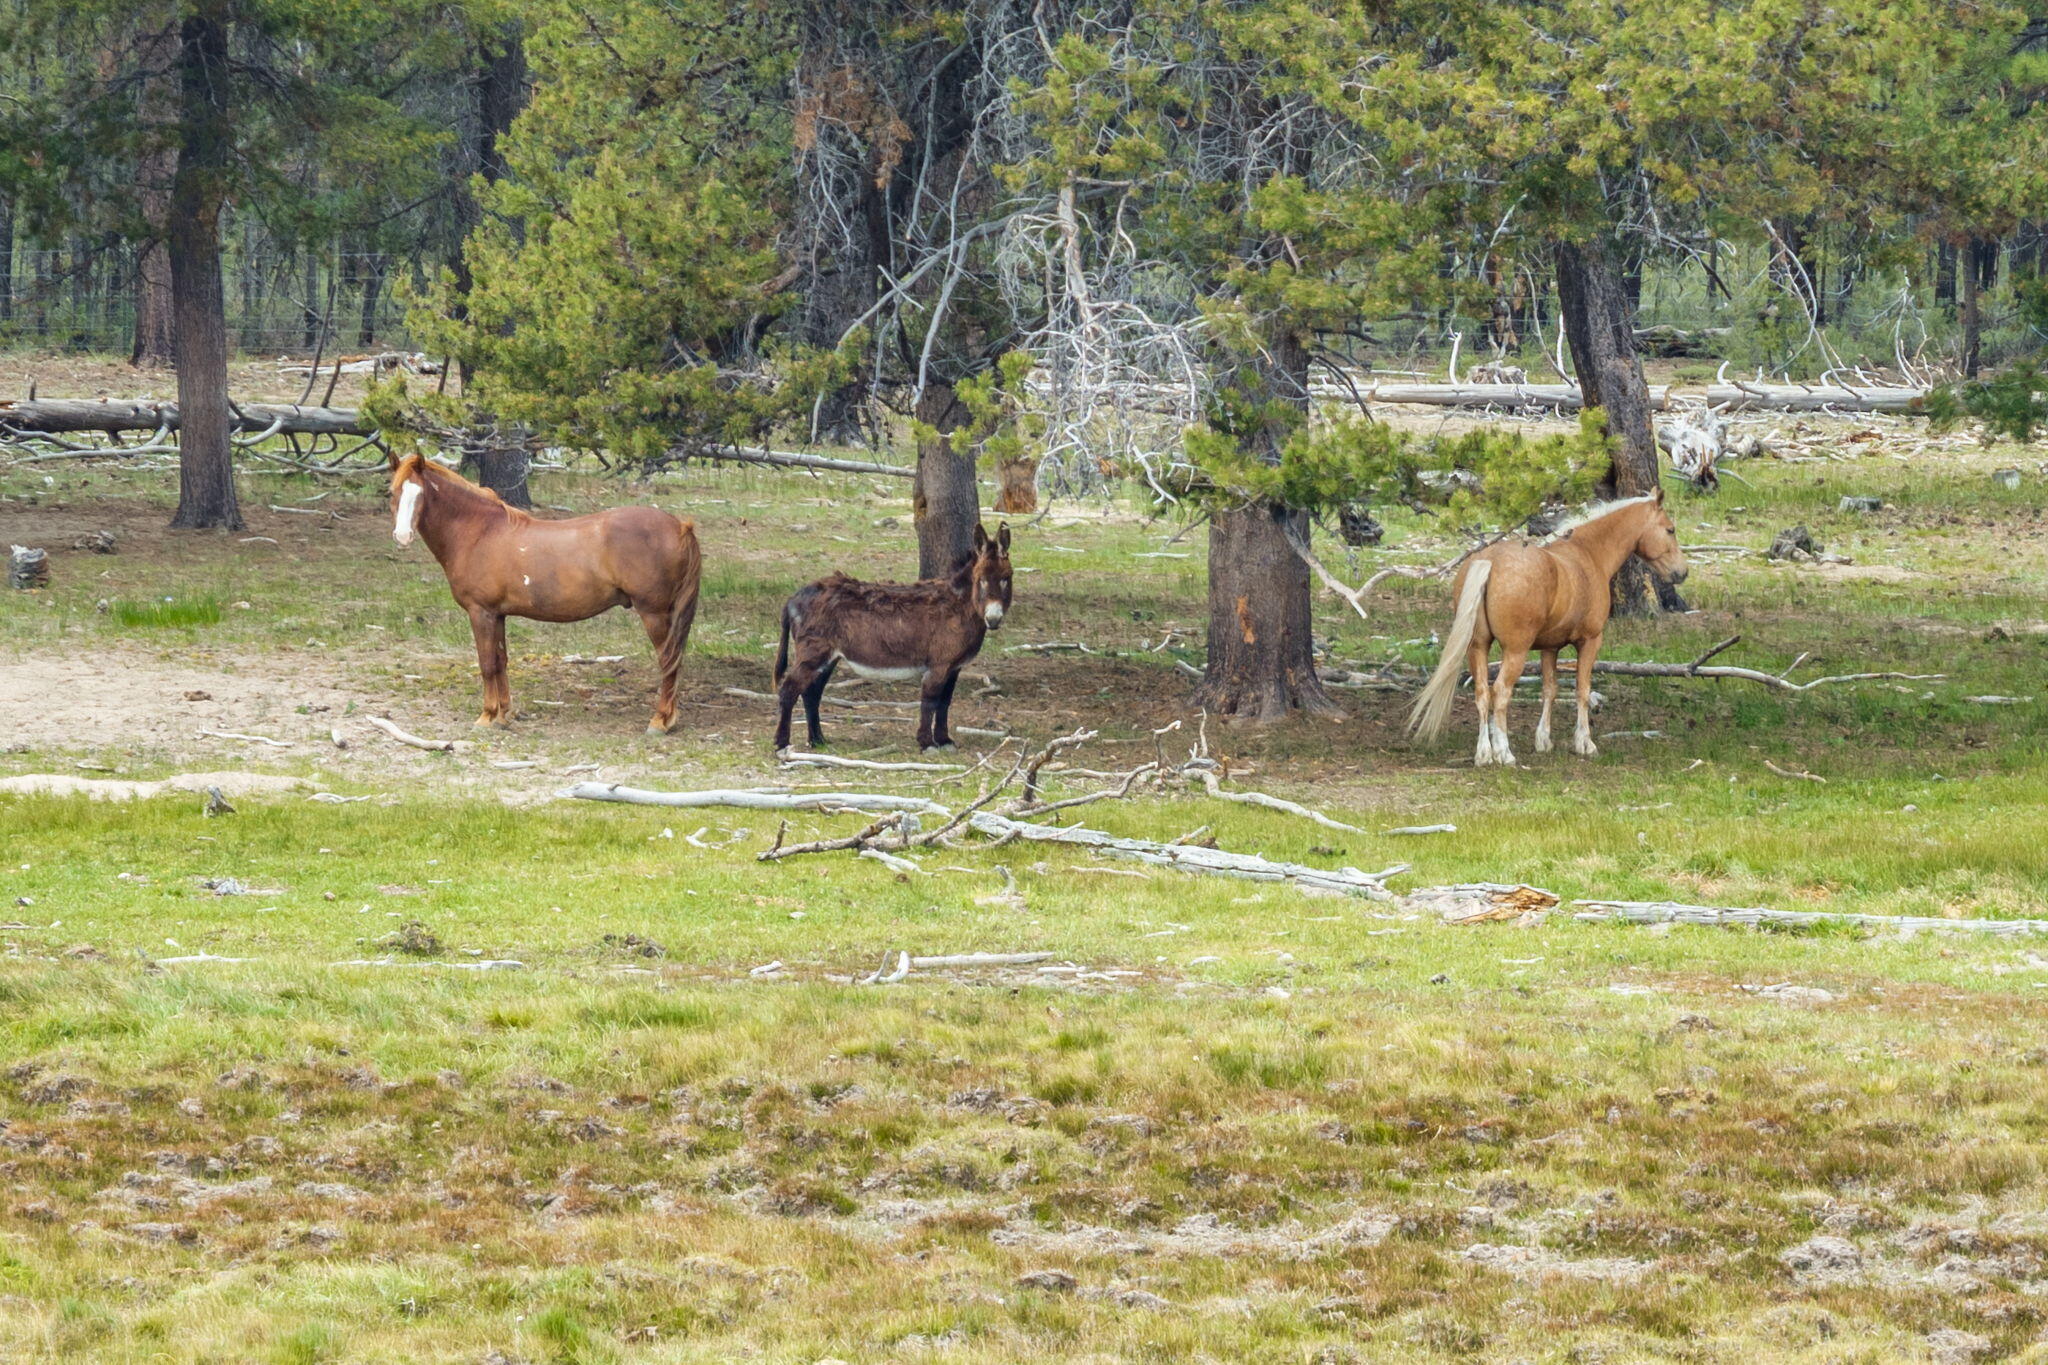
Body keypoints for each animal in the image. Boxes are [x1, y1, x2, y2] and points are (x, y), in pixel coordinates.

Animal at [389, 453, 701, 732]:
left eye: (420, 493)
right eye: (392, 491)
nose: (402, 536)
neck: (479, 532)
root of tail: (680, 526)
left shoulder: (481, 613)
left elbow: (487, 664)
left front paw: (486, 716)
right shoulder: (498, 615)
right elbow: (501, 661)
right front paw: (503, 715)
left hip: (653, 613)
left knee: (668, 661)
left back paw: (659, 721)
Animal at [773, 522, 1012, 753]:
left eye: (1006, 578)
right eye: (981, 580)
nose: (993, 619)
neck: (959, 605)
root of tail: (793, 597)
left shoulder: (954, 667)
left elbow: (945, 703)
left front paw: (945, 741)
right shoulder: (938, 665)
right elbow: (930, 701)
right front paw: (927, 744)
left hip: (829, 657)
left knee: (811, 693)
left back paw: (818, 741)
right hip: (813, 652)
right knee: (789, 690)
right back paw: (782, 745)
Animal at [1408, 491, 1687, 766]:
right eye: (1670, 530)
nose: (1681, 572)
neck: (1587, 554)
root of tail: (1490, 560)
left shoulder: (1550, 647)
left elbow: (1549, 690)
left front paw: (1543, 740)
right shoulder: (1590, 641)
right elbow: (1582, 690)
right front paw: (1585, 743)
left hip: (1477, 647)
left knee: (1482, 693)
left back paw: (1484, 754)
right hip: (1515, 652)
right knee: (1500, 692)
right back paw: (1504, 753)